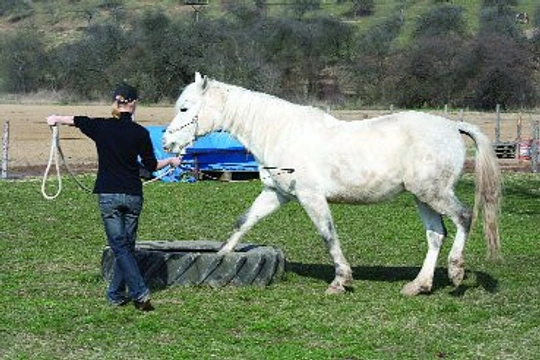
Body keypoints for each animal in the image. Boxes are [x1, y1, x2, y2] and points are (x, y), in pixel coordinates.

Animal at [161, 73, 502, 296]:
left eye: (185, 108)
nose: (167, 143)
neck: (281, 132)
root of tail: (453, 127)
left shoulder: (310, 197)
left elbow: (328, 235)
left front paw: (341, 281)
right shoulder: (276, 194)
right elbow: (243, 222)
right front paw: (220, 258)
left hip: (434, 193)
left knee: (463, 218)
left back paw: (455, 272)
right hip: (422, 197)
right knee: (435, 234)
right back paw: (418, 286)